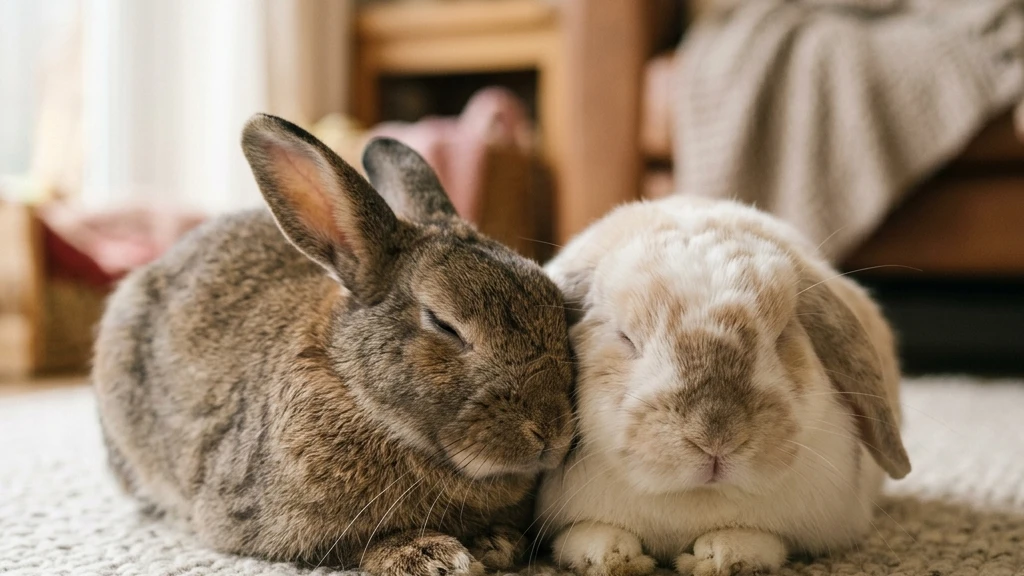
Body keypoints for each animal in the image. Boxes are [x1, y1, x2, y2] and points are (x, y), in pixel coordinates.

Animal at [93, 113, 576, 575]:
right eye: (444, 324)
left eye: (559, 309)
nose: (551, 432)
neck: (355, 389)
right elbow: (351, 546)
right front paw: (429, 555)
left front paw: (499, 543)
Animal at [535, 195, 911, 576]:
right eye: (625, 338)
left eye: (782, 336)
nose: (716, 439)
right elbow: (587, 533)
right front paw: (612, 558)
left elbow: (757, 540)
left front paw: (720, 557)